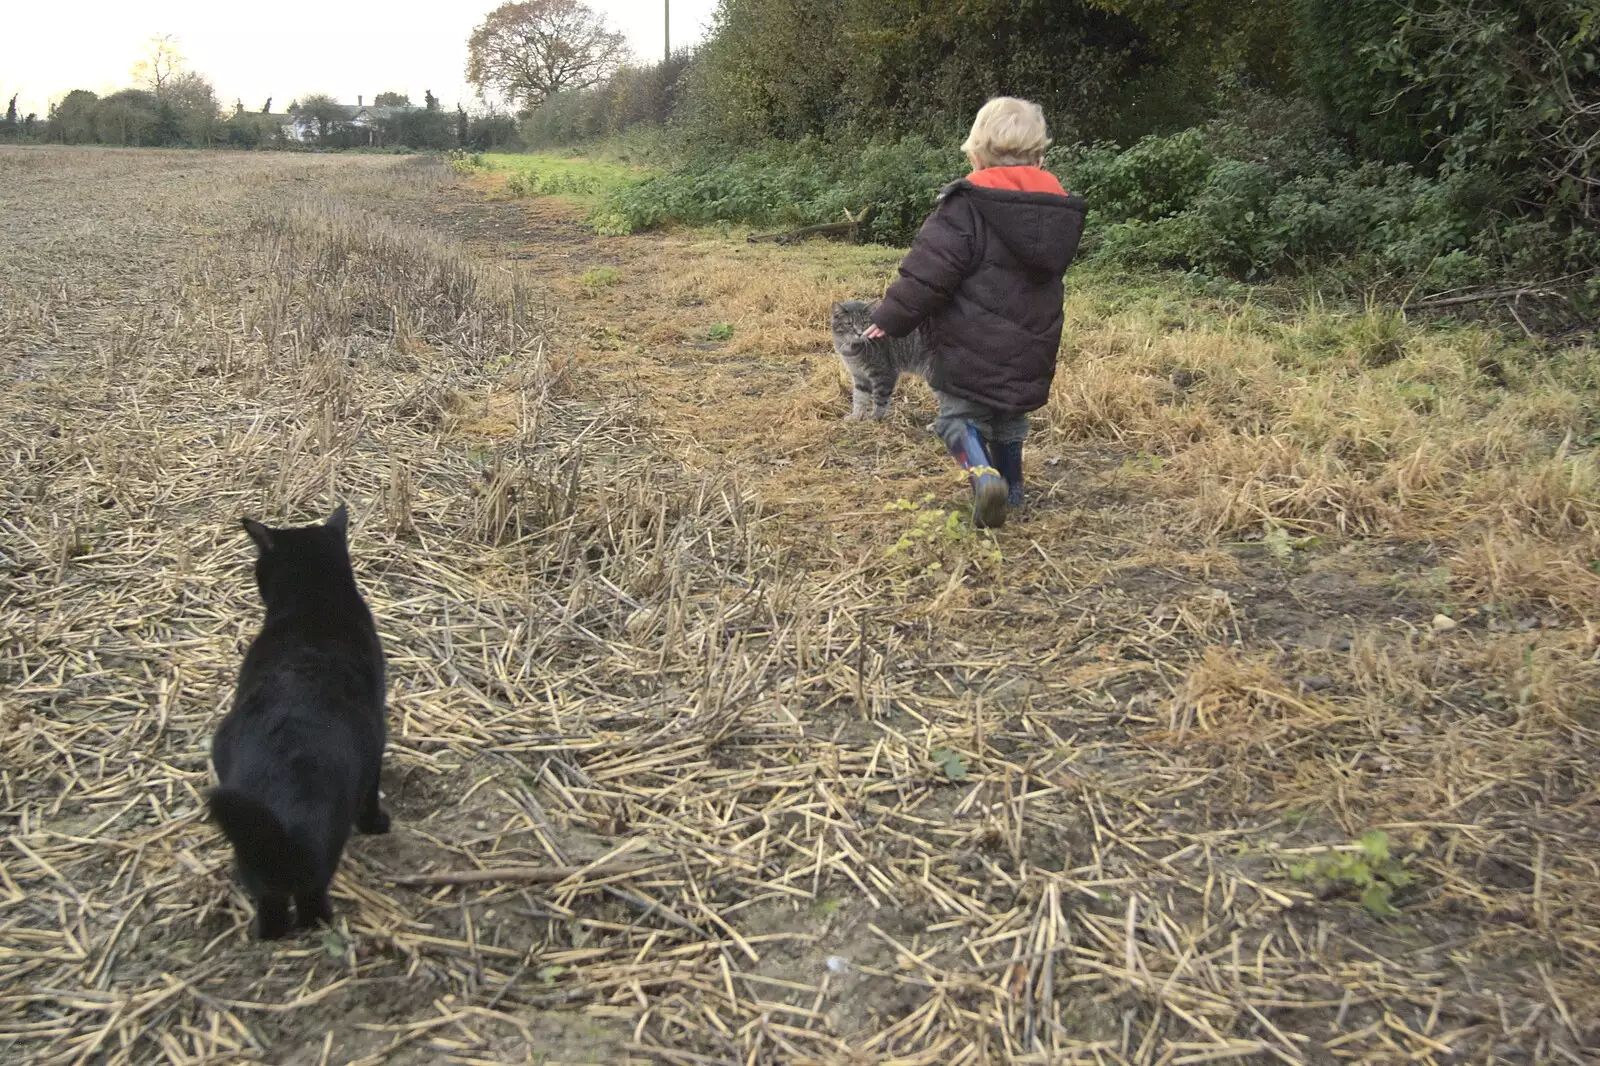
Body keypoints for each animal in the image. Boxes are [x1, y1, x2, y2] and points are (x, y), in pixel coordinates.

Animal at [209, 502, 390, 934]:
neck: (315, 601)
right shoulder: (379, 733)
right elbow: (373, 793)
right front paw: (377, 823)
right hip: (320, 853)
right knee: (312, 905)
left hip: (253, 850)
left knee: (271, 911)